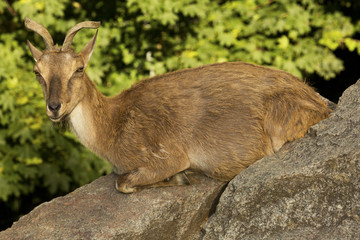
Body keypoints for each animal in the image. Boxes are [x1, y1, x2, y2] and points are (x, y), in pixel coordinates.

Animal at [23, 17, 330, 193]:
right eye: (37, 71)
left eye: (79, 69)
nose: (54, 107)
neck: (111, 127)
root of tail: (320, 103)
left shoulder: (166, 156)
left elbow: (123, 183)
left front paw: (181, 179)